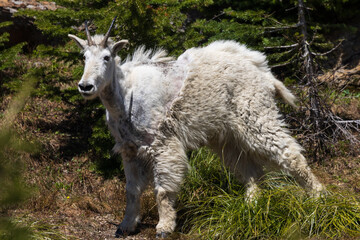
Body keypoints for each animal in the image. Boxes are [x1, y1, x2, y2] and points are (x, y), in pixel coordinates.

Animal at [69, 18, 324, 238]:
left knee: (289, 154)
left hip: (257, 115)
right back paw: (251, 207)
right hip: (227, 136)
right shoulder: (129, 148)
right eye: (84, 57)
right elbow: (131, 190)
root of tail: (266, 75)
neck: (125, 96)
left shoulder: (162, 143)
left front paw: (164, 228)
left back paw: (319, 200)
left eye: (106, 57)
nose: (85, 86)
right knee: (249, 169)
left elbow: (162, 190)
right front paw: (126, 226)